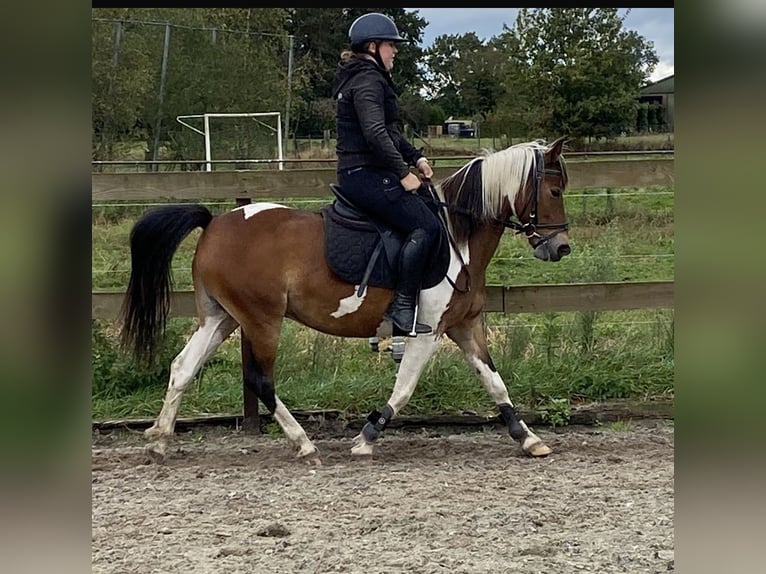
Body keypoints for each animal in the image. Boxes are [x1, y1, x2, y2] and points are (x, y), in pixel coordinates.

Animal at [121, 137, 568, 466]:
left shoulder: (464, 325)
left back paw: (159, 440)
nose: (561, 247)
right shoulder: (427, 332)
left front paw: (528, 439)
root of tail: (214, 223)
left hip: (222, 318)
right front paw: (366, 437)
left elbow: (495, 383)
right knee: (260, 380)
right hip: (262, 320)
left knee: (183, 367)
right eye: (554, 190)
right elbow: (404, 387)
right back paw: (304, 444)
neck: (457, 240)